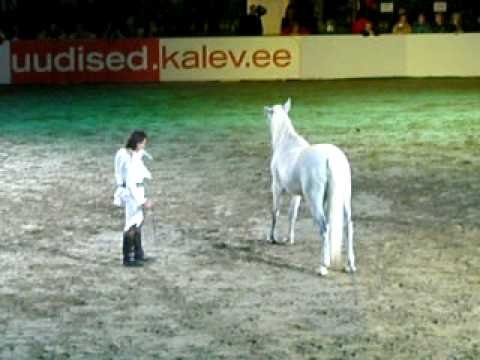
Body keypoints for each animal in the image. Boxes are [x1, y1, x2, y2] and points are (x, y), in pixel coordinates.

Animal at [264, 98, 354, 276]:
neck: (285, 143)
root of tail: (331, 158)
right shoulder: (296, 194)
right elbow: (292, 214)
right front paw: (289, 239)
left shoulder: (277, 186)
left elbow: (275, 212)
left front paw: (273, 238)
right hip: (344, 199)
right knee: (348, 225)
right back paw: (350, 265)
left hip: (314, 200)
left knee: (324, 227)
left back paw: (323, 266)